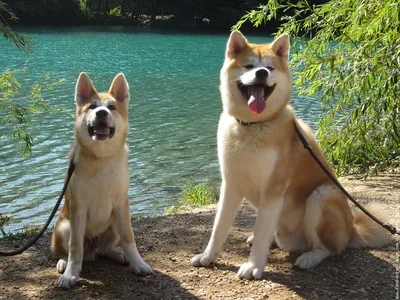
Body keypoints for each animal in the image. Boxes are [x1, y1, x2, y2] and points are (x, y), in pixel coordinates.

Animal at [51, 72, 153, 288]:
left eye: (111, 107)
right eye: (92, 107)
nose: (101, 113)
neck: (101, 159)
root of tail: (93, 247)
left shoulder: (122, 204)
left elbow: (129, 238)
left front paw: (138, 263)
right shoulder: (78, 207)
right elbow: (75, 247)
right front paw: (71, 274)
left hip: (113, 224)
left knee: (105, 250)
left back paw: (120, 255)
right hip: (64, 226)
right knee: (68, 250)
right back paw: (64, 263)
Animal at [191, 31, 390, 280]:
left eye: (269, 67)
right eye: (249, 66)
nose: (262, 73)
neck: (253, 126)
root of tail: (353, 230)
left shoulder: (273, 190)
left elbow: (261, 229)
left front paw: (253, 266)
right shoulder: (231, 185)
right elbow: (219, 228)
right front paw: (208, 257)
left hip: (322, 195)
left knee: (330, 248)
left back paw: (309, 257)